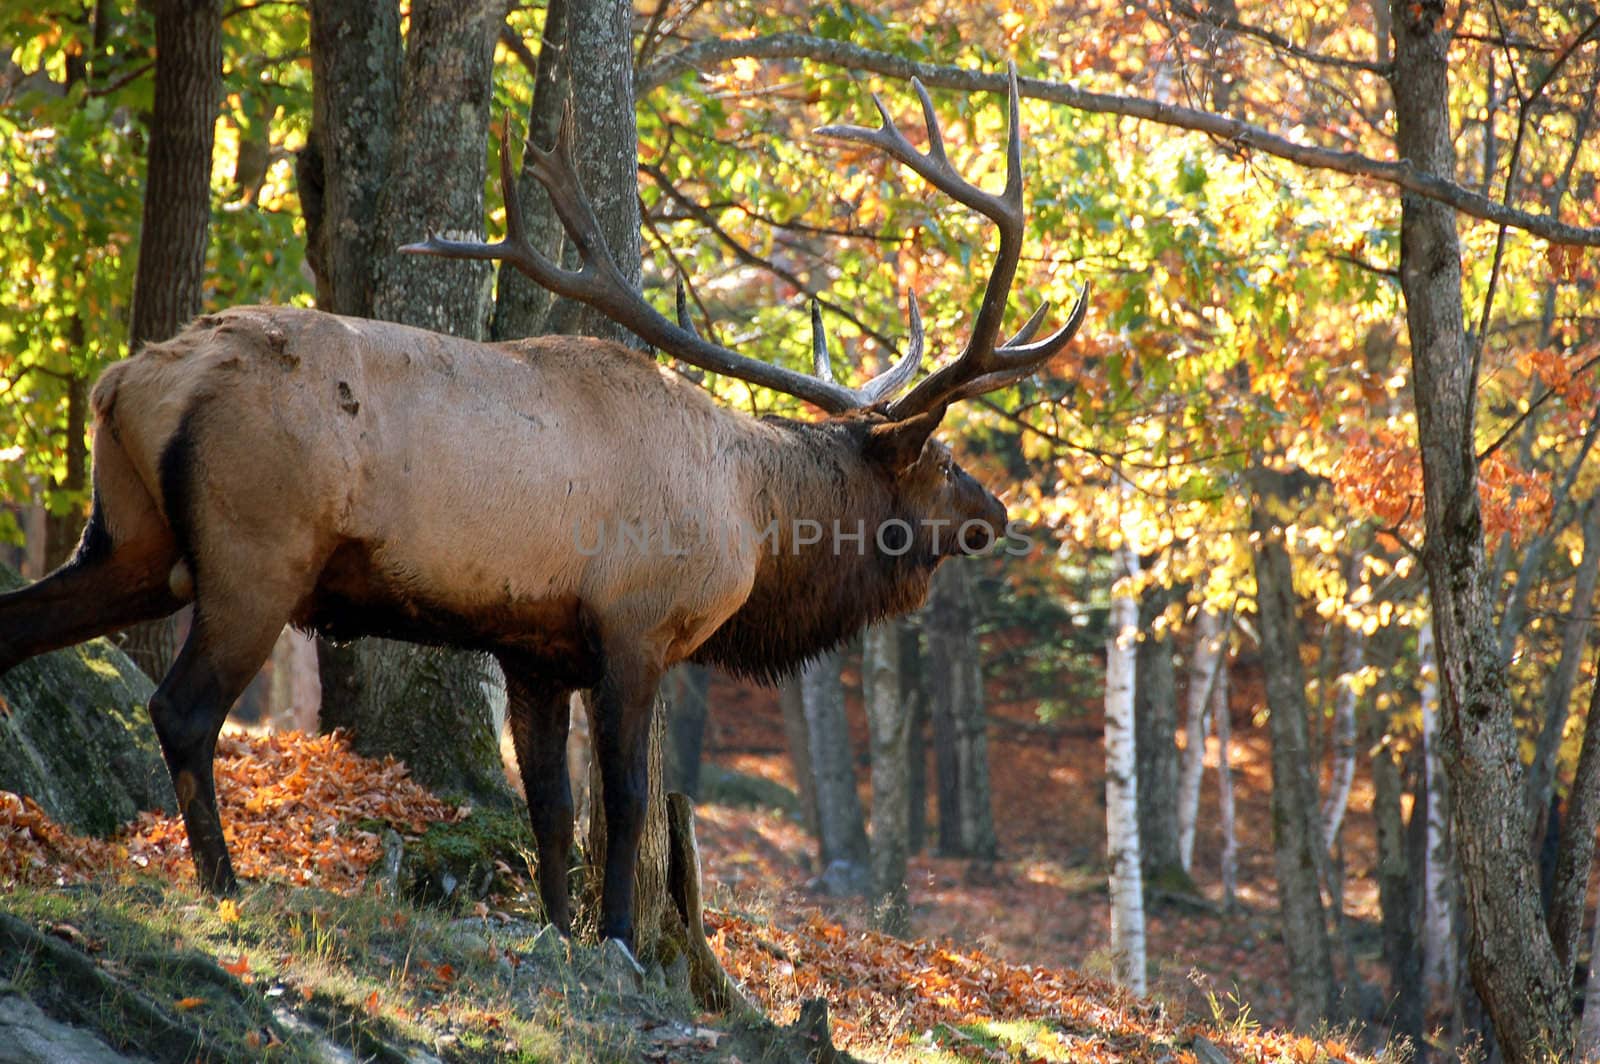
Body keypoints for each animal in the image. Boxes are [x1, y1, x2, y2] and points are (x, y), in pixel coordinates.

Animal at [0, 64, 1088, 947]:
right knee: (181, 707)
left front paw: (560, 931)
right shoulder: (637, 625)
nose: (996, 511)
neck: (751, 519)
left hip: (131, 540)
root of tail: (129, 382)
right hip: (254, 552)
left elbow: (550, 807)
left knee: (22, 625)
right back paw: (226, 885)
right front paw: (616, 938)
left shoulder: (531, 648)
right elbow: (625, 803)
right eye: (941, 458)